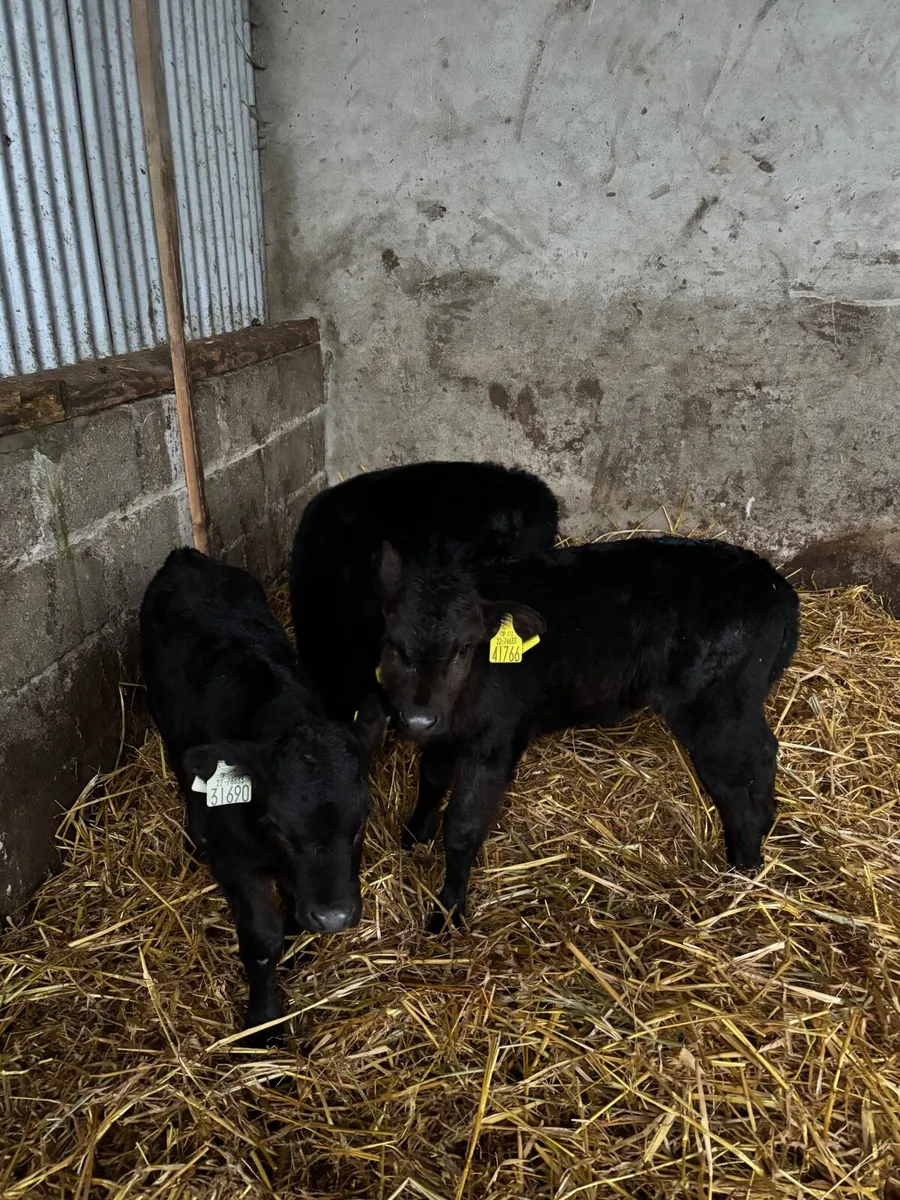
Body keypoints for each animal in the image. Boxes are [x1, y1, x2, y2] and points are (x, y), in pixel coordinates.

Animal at [140, 548, 384, 1045]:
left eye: (361, 821)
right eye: (279, 828)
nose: (333, 917)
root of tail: (186, 557)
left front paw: (299, 933)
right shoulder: (235, 863)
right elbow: (261, 939)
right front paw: (263, 1021)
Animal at [375, 535, 800, 932]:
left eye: (464, 648)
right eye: (392, 645)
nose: (418, 718)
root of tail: (776, 585)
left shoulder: (494, 742)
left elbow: (463, 827)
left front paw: (447, 912)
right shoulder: (444, 733)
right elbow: (430, 780)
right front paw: (414, 835)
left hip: (715, 706)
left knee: (739, 772)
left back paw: (744, 868)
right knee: (761, 753)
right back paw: (763, 828)